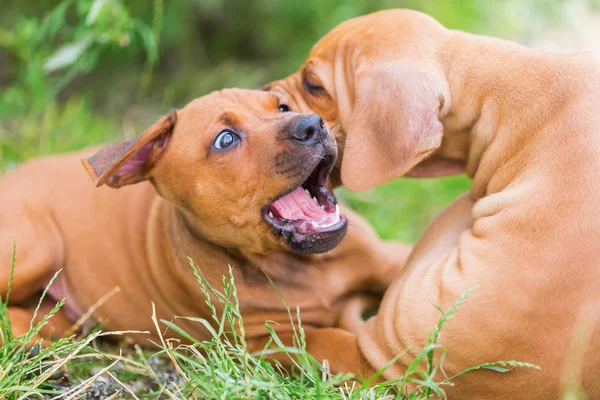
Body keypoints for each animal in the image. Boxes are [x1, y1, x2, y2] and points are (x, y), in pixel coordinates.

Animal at [0, 87, 408, 346]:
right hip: (37, 248)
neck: (306, 266)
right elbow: (344, 347)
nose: (313, 124)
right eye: (225, 140)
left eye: (282, 107)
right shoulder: (271, 341)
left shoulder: (387, 258)